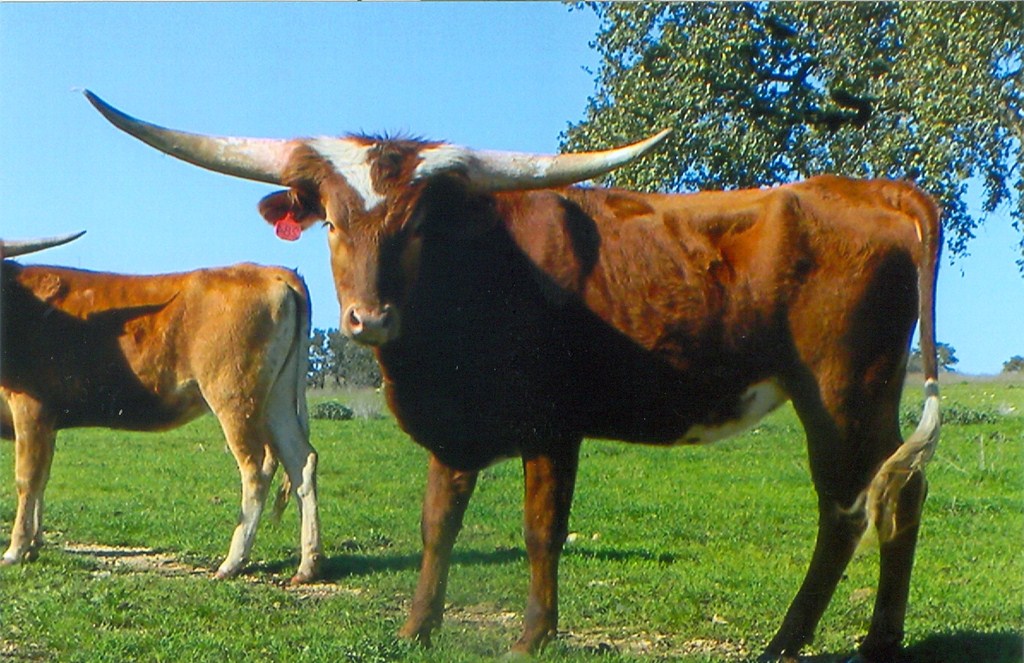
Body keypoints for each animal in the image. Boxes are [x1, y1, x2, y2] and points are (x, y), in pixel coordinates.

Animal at [1, 232, 322, 584]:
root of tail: (269, 271)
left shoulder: (30, 410)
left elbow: (26, 480)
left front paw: (15, 550)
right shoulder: (47, 422)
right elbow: (42, 478)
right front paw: (34, 545)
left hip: (235, 397)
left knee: (257, 467)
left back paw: (232, 562)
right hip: (277, 400)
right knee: (301, 461)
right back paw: (308, 565)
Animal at [86, 91, 941, 662]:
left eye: (418, 224)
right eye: (331, 221)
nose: (370, 319)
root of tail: (874, 189)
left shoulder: (552, 427)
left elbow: (539, 530)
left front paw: (533, 635)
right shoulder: (451, 427)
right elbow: (439, 522)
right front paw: (417, 625)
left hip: (841, 393)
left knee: (848, 506)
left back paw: (793, 640)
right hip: (869, 397)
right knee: (900, 493)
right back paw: (877, 638)